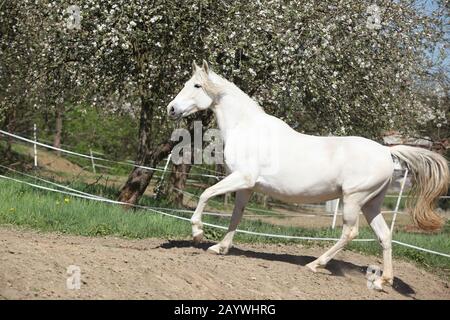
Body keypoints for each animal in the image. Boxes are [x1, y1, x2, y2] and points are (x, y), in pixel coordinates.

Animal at [167, 61, 448, 288]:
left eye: (196, 85)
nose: (171, 109)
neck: (247, 128)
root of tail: (386, 151)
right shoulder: (246, 187)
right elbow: (236, 215)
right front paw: (220, 248)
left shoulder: (242, 179)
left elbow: (205, 194)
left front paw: (198, 233)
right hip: (371, 204)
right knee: (385, 235)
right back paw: (384, 280)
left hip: (353, 199)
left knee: (350, 233)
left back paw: (315, 264)